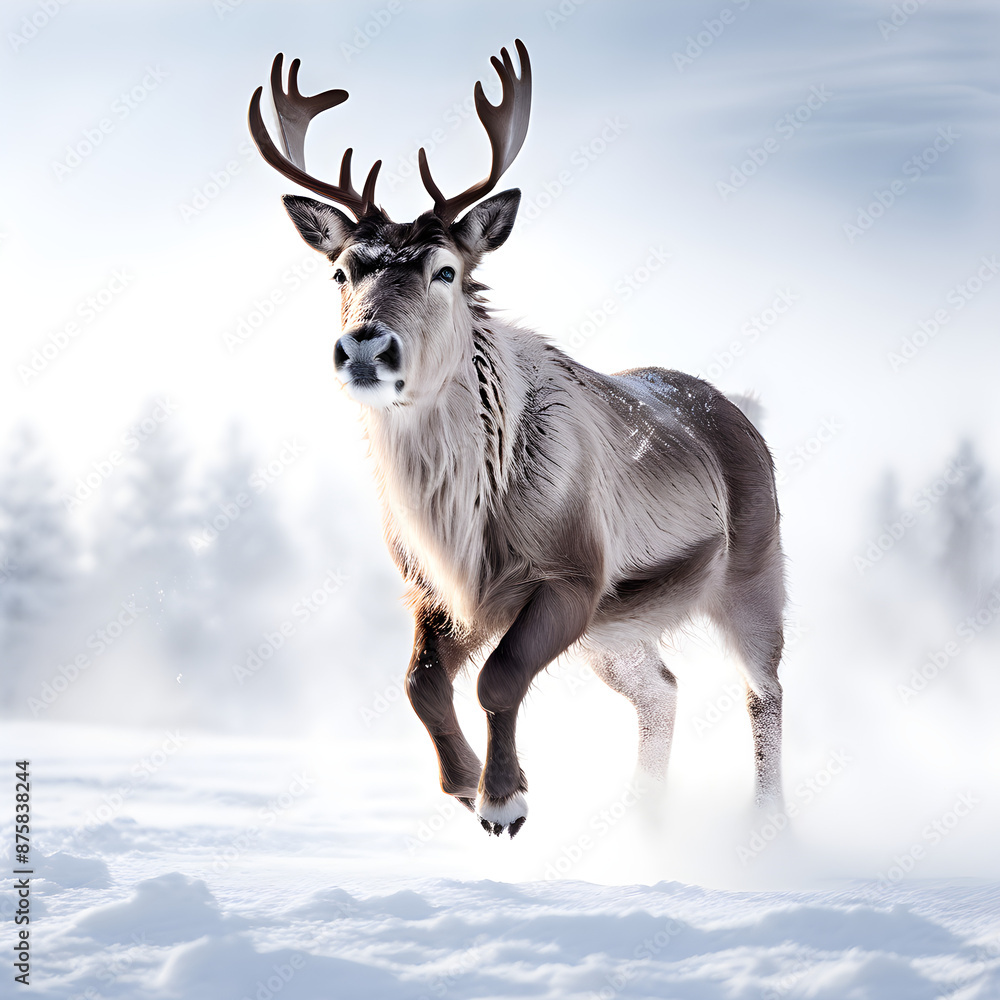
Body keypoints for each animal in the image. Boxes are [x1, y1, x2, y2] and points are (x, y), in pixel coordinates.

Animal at [248, 40, 785, 838]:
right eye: (342, 270)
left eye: (445, 269)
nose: (366, 345)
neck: (465, 523)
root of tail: (745, 412)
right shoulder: (435, 591)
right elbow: (419, 684)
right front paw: (463, 782)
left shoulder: (577, 571)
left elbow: (500, 678)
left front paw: (504, 799)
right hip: (618, 633)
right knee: (663, 687)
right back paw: (644, 819)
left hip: (753, 574)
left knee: (764, 690)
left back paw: (769, 826)